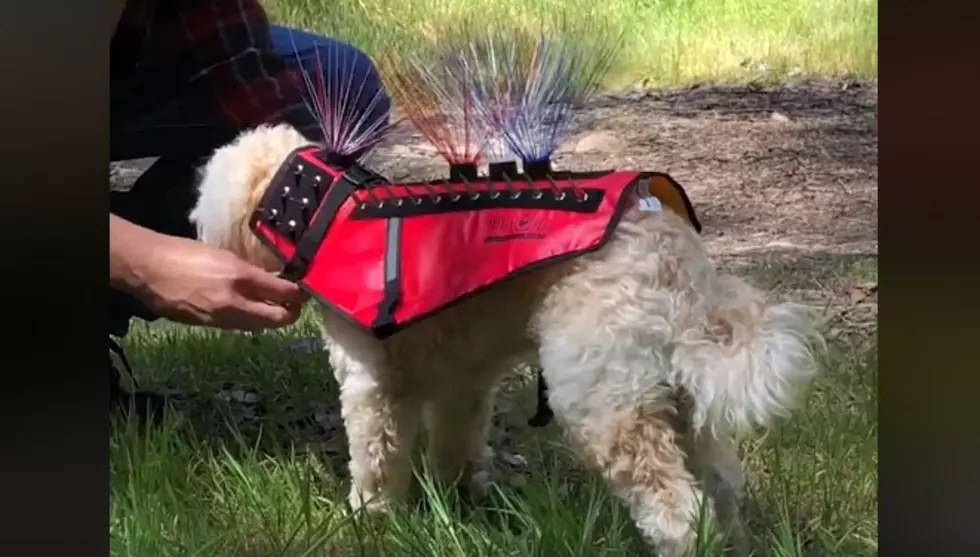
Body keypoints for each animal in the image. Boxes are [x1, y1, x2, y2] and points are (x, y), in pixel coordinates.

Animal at [189, 122, 820, 556]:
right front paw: (455, 503)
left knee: (677, 511)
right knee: (722, 490)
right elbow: (455, 448)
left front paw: (368, 517)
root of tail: (670, 253)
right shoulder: (462, 388)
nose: (194, 233)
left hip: (605, 401)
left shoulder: (373, 389)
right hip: (681, 404)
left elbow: (375, 461)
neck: (326, 208)